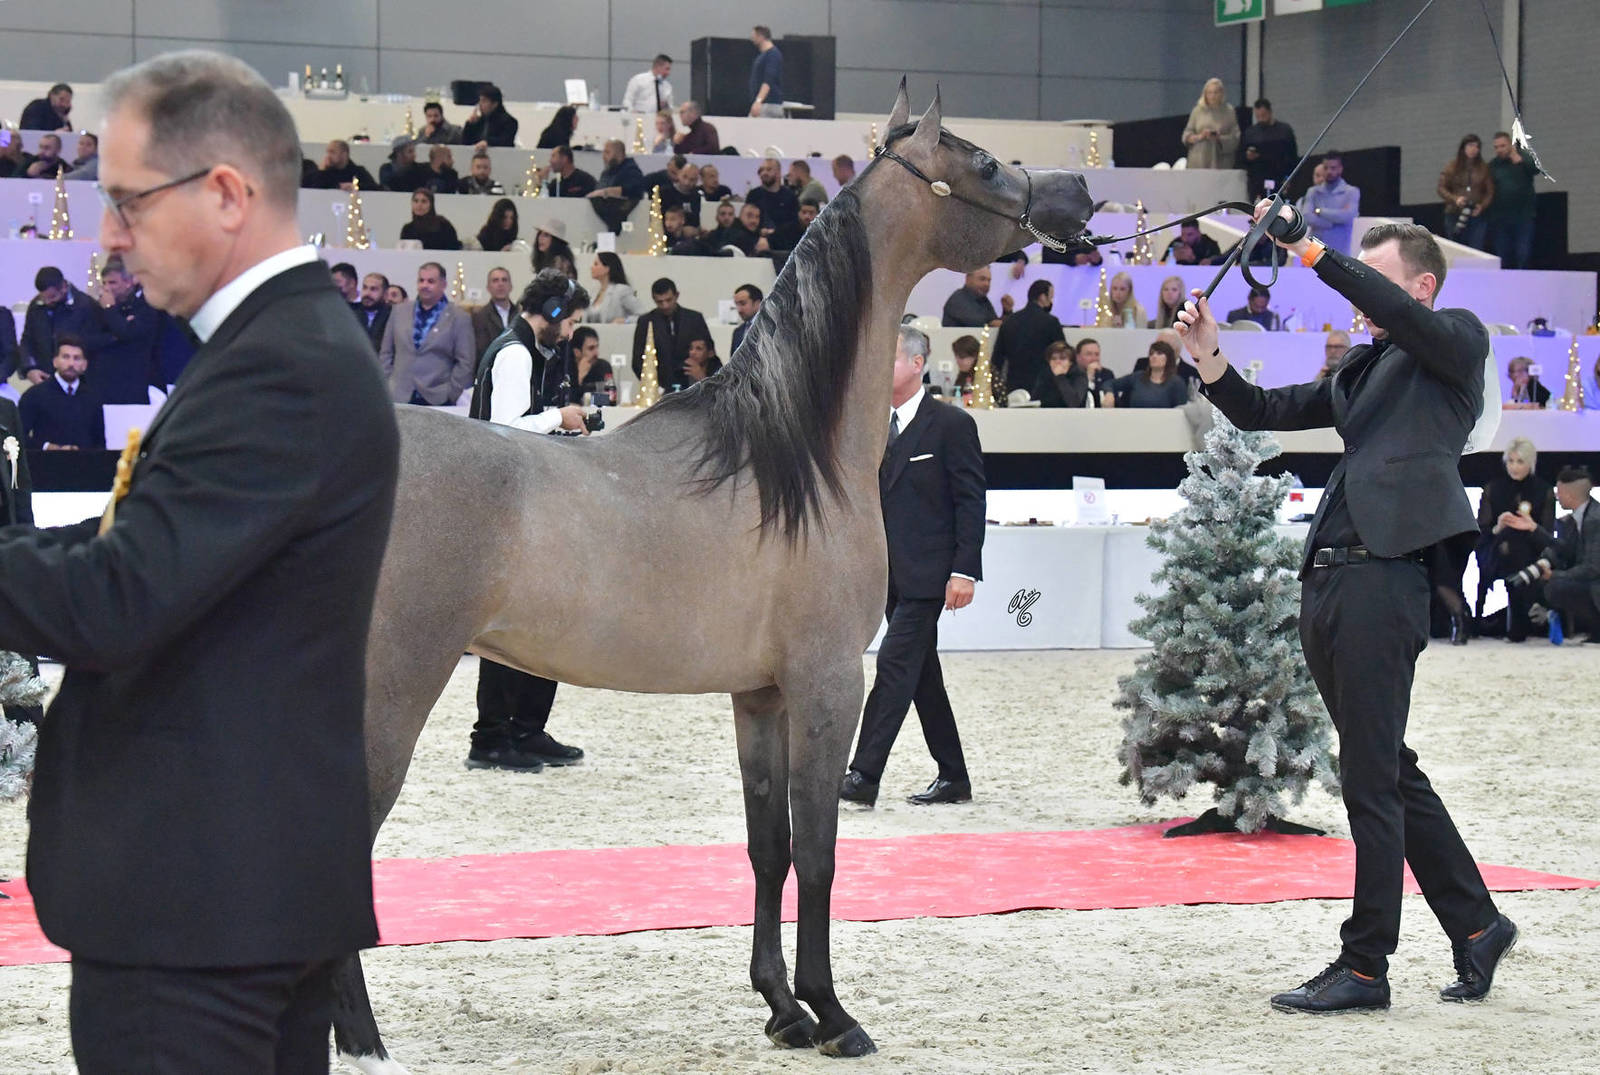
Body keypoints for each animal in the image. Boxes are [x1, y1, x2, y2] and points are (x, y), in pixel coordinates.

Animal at [333, 82, 1095, 1072]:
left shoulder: (761, 696)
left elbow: (768, 845)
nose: (1079, 193)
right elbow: (820, 849)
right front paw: (833, 1012)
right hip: (397, 693)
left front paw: (781, 1007)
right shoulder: (826, 684)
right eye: (988, 162)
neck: (794, 456)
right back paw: (361, 1036)